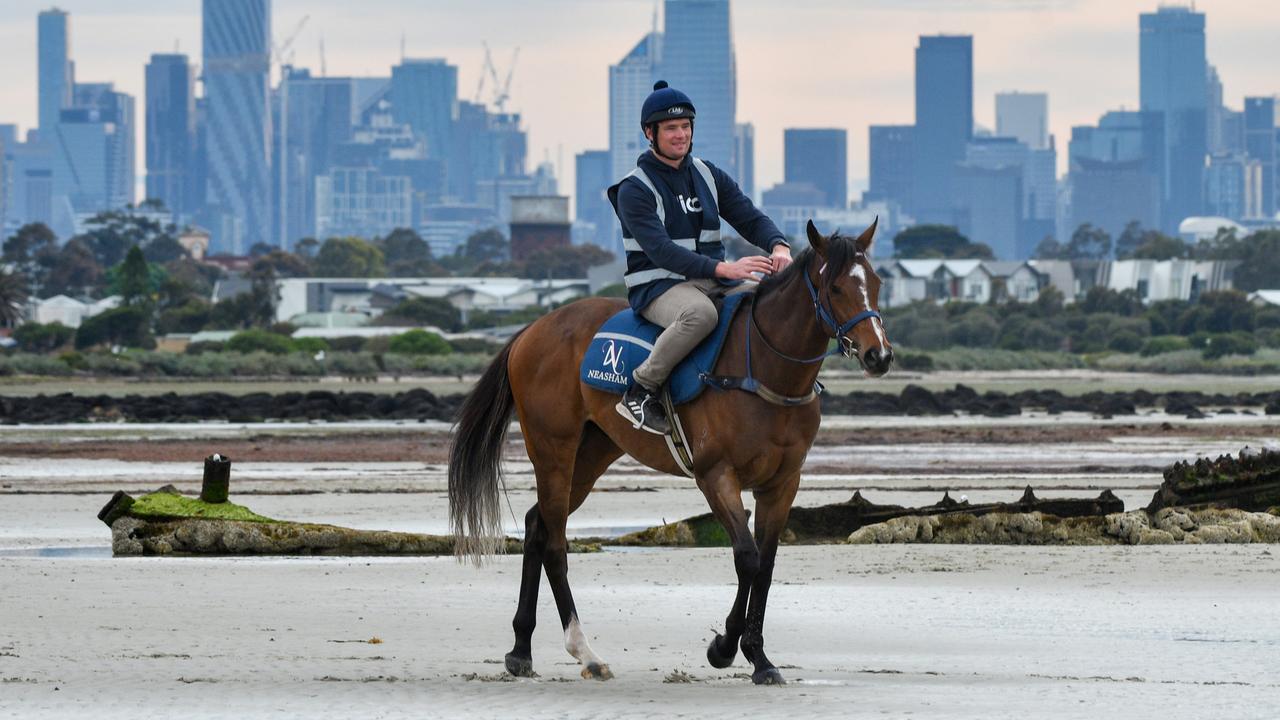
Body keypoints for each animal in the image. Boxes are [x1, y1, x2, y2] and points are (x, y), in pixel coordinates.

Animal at [448, 219, 890, 681]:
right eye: (836, 287)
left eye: (876, 283)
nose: (878, 355)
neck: (762, 371)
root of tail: (532, 330)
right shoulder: (716, 476)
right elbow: (747, 558)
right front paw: (725, 648)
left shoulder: (783, 482)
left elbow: (766, 566)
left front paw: (760, 658)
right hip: (554, 451)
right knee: (553, 541)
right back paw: (585, 651)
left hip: (591, 454)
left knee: (537, 525)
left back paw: (521, 648)